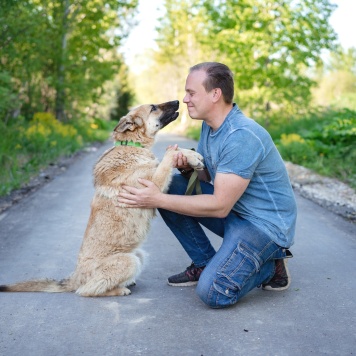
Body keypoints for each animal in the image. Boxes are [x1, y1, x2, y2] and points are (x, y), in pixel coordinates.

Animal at [0, 101, 204, 298]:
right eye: (153, 107)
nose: (177, 101)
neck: (131, 145)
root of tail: (76, 277)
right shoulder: (153, 184)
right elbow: (168, 155)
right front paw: (191, 156)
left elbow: (171, 152)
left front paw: (192, 156)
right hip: (129, 260)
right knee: (87, 290)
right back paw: (119, 290)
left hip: (138, 254)